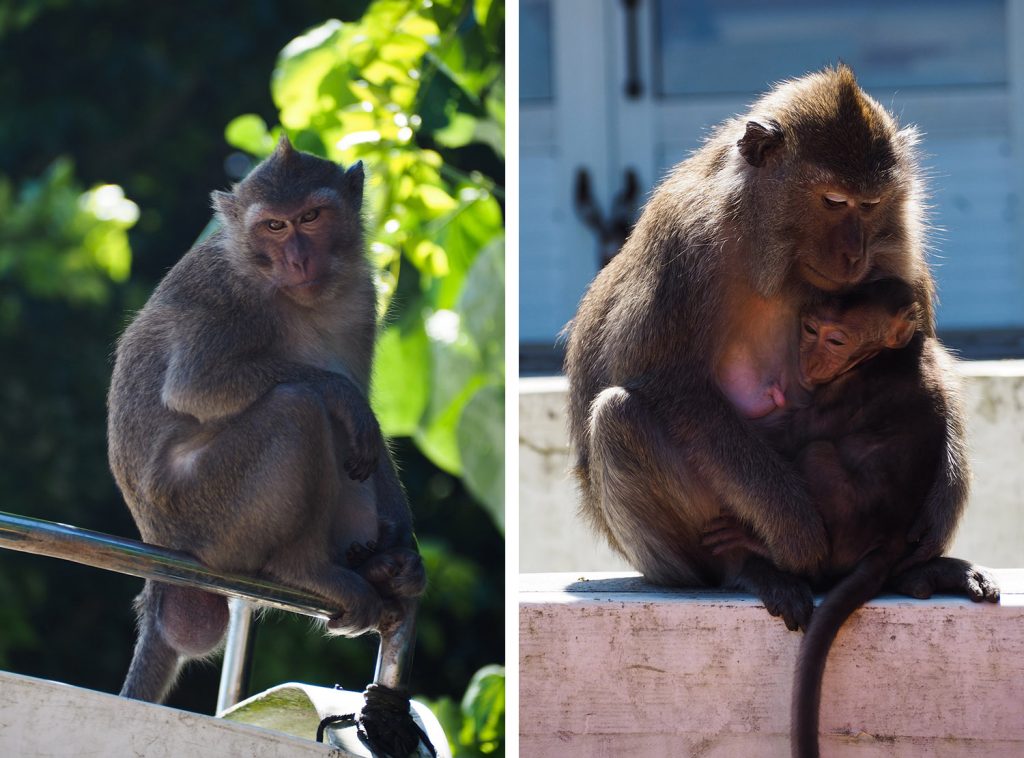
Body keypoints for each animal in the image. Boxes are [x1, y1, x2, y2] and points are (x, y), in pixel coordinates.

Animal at [111, 136, 428, 704]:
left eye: (311, 216)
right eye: (274, 226)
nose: (298, 258)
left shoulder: (361, 296)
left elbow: (368, 429)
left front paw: (404, 544)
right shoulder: (225, 294)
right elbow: (197, 386)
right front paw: (342, 395)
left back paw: (378, 567)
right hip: (209, 519)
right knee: (297, 408)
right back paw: (304, 569)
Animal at [565, 65, 995, 635]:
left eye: (870, 204)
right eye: (833, 201)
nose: (853, 254)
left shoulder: (898, 248)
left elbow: (926, 358)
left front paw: (948, 487)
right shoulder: (687, 246)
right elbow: (667, 382)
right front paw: (795, 527)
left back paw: (922, 570)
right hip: (680, 559)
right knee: (621, 417)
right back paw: (748, 567)